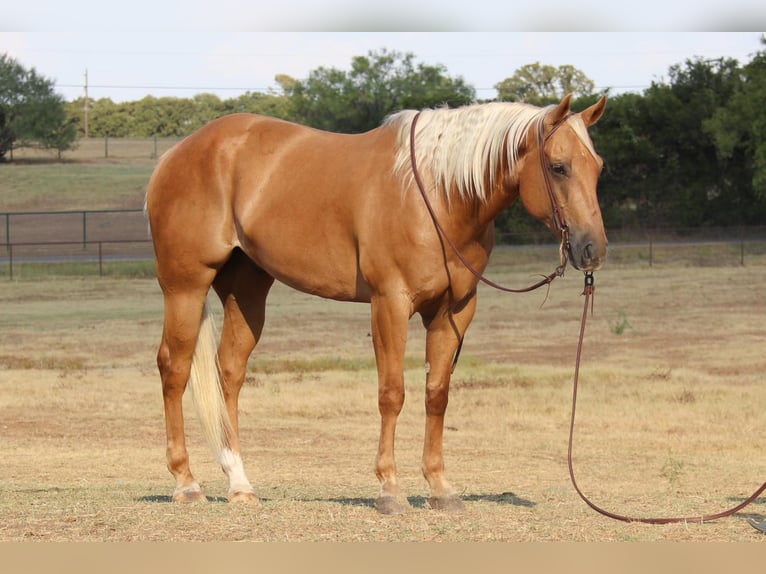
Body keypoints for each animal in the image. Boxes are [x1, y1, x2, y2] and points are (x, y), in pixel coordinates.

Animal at [147, 92, 608, 516]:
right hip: (185, 287)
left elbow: (437, 394)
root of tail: (175, 154)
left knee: (229, 373)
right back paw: (186, 483)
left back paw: (239, 482)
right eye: (559, 166)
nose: (592, 249)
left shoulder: (453, 311)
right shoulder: (389, 304)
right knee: (174, 369)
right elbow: (392, 393)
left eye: (597, 166)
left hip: (246, 290)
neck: (438, 196)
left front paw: (441, 488)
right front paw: (389, 489)